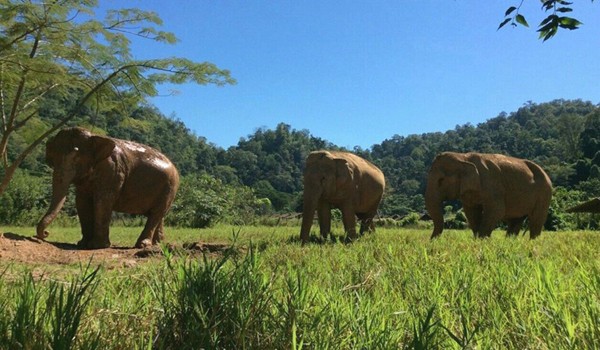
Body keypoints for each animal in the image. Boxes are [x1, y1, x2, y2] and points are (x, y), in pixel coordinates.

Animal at [35, 127, 179, 250]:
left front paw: (96, 246)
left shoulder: (112, 171)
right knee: (158, 215)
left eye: (76, 158)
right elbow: (81, 202)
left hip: (170, 188)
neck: (94, 137)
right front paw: (82, 244)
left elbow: (102, 201)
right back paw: (158, 244)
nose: (46, 233)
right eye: (52, 159)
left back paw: (142, 245)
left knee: (156, 213)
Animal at [424, 152, 552, 239]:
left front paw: (482, 241)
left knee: (536, 220)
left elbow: (497, 211)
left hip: (544, 193)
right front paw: (477, 241)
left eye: (441, 180)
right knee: (515, 221)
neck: (463, 157)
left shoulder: (493, 186)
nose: (431, 242)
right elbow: (471, 213)